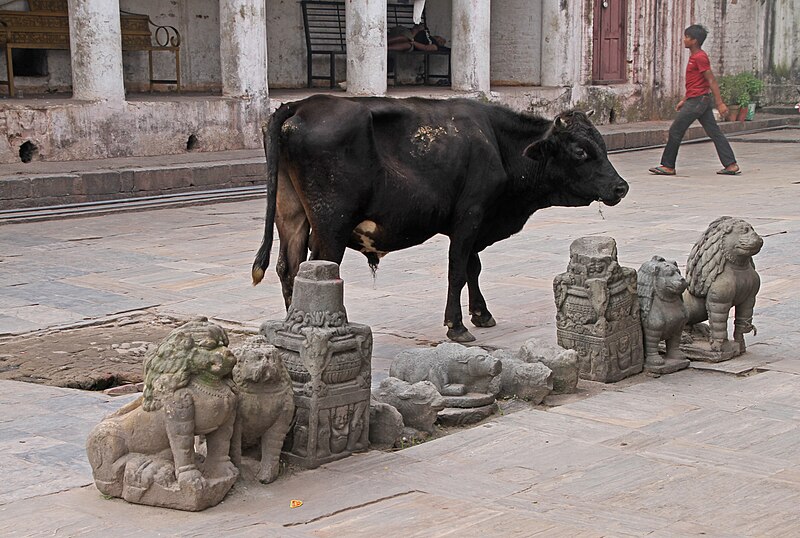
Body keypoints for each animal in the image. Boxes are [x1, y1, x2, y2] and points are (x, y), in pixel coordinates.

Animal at [253, 95, 628, 340]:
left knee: (288, 267)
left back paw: (291, 326)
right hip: (331, 225)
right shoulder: (470, 215)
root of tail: (302, 104)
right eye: (580, 151)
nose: (621, 186)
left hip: (292, 216)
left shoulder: (476, 221)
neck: (498, 143)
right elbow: (458, 270)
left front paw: (481, 314)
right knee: (315, 269)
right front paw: (457, 326)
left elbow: (474, 267)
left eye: (602, 146)